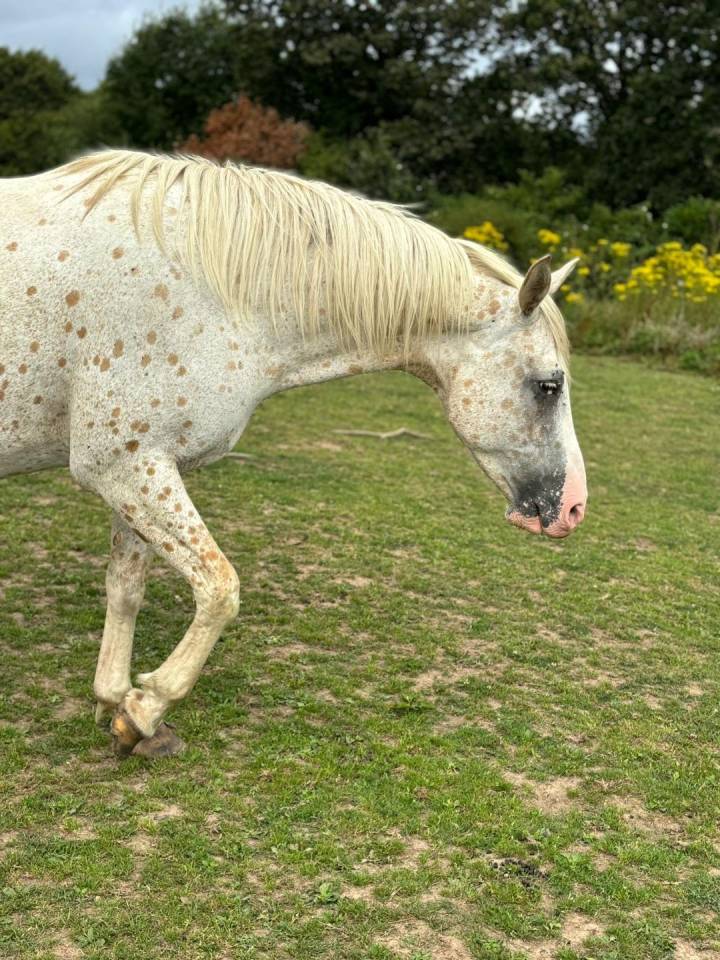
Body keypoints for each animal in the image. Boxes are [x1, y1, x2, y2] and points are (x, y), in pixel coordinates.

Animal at [0, 150, 587, 758]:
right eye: (549, 385)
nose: (573, 507)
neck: (205, 287)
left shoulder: (141, 463)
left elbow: (126, 588)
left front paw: (117, 702)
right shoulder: (120, 465)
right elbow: (220, 589)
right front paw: (145, 708)